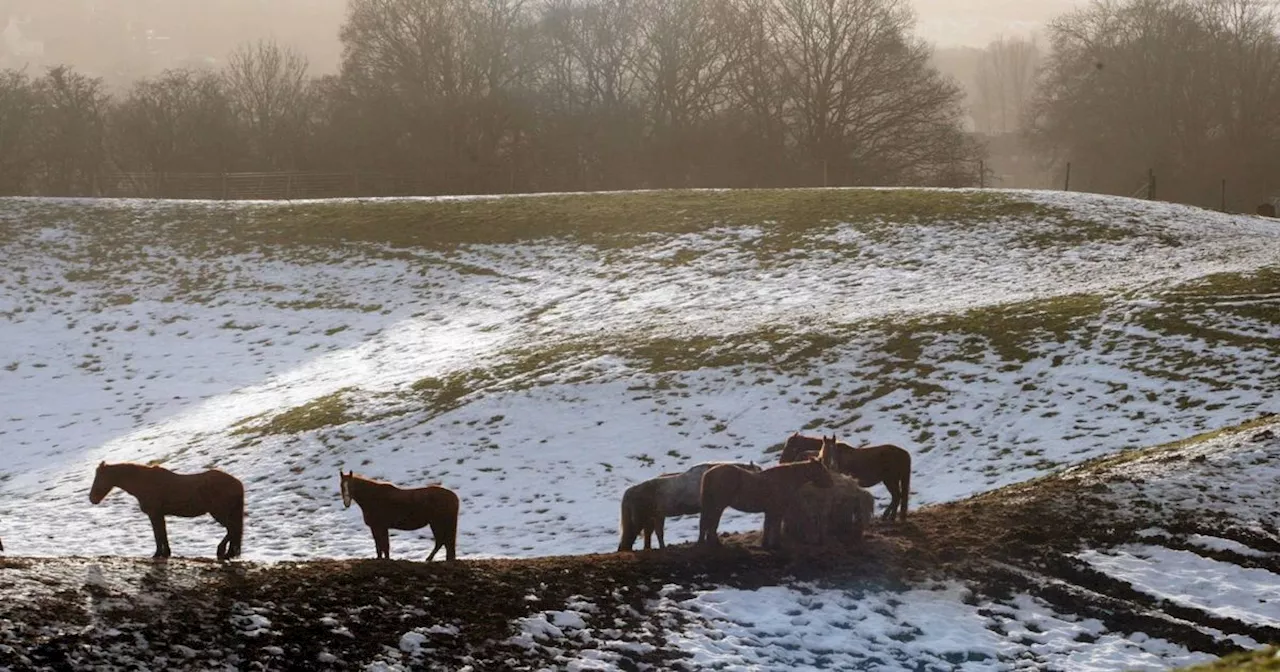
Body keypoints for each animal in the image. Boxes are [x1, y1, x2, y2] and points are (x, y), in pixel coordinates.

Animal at [87, 458, 244, 558]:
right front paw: (166, 553)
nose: (92, 499)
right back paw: (229, 553)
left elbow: (158, 534)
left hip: (219, 513)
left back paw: (221, 552)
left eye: (98, 478)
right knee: (233, 531)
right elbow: (163, 534)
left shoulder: (154, 514)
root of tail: (237, 483)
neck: (144, 482)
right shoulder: (159, 515)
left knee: (232, 529)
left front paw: (158, 554)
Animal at [696, 453, 834, 547]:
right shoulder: (777, 511)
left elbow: (767, 527)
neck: (787, 478)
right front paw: (776, 545)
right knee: (712, 524)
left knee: (705, 523)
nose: (831, 483)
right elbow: (775, 527)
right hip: (718, 505)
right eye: (822, 469)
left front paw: (766, 544)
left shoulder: (769, 510)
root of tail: (709, 473)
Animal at [778, 432, 911, 522]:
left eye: (791, 447)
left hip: (890, 480)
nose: (781, 462)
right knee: (897, 497)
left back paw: (889, 517)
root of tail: (905, 453)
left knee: (897, 496)